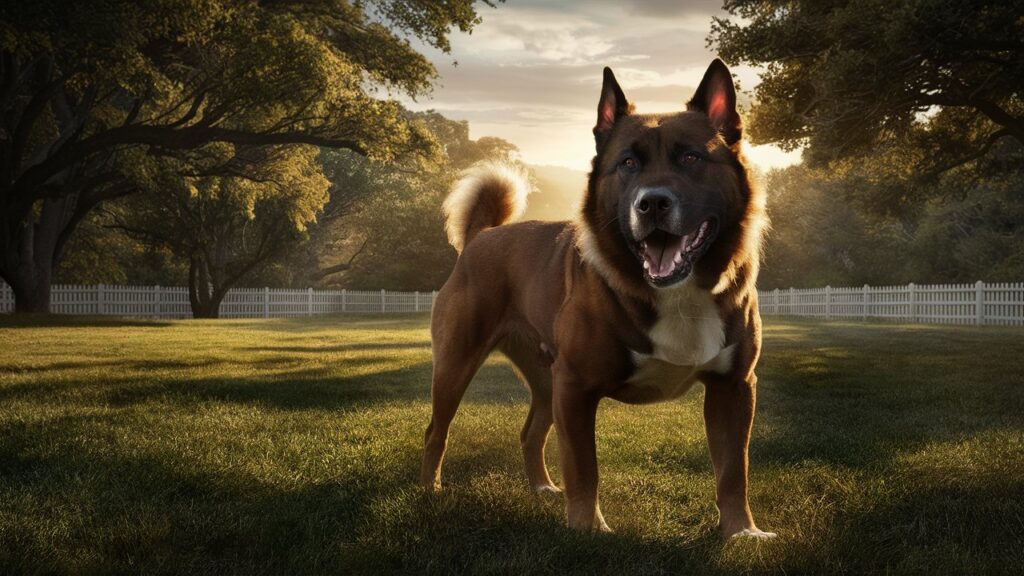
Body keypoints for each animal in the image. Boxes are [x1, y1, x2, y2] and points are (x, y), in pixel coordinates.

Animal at [419, 59, 770, 537]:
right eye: (627, 163)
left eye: (692, 158)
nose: (652, 203)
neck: (676, 292)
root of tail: (481, 236)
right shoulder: (576, 386)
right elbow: (584, 468)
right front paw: (588, 529)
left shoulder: (734, 387)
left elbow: (735, 470)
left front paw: (742, 533)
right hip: (458, 364)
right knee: (436, 430)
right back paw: (429, 491)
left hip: (545, 378)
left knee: (530, 432)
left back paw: (543, 489)